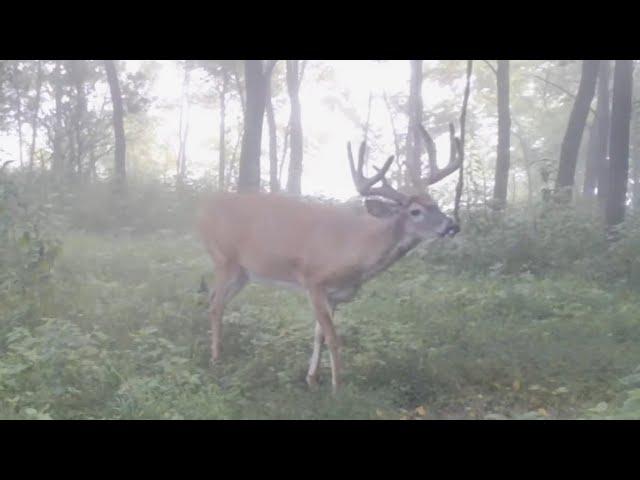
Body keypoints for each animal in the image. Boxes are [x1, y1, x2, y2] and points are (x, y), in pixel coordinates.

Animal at [198, 122, 462, 392]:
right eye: (415, 211)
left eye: (436, 204)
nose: (452, 225)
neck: (355, 251)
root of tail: (203, 212)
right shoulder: (313, 282)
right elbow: (334, 338)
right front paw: (338, 388)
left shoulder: (335, 295)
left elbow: (320, 335)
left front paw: (312, 379)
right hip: (223, 258)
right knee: (215, 305)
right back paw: (216, 359)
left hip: (244, 272)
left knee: (214, 299)